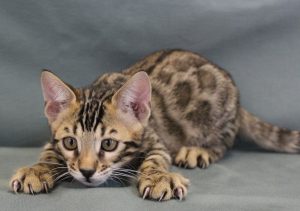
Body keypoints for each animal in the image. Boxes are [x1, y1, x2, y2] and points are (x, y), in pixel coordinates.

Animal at [9, 49, 300, 201]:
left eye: (109, 144)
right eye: (70, 142)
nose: (87, 172)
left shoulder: (156, 139)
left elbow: (156, 159)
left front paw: (160, 177)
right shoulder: (53, 143)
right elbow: (48, 153)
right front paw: (36, 170)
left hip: (215, 118)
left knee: (224, 142)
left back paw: (198, 150)